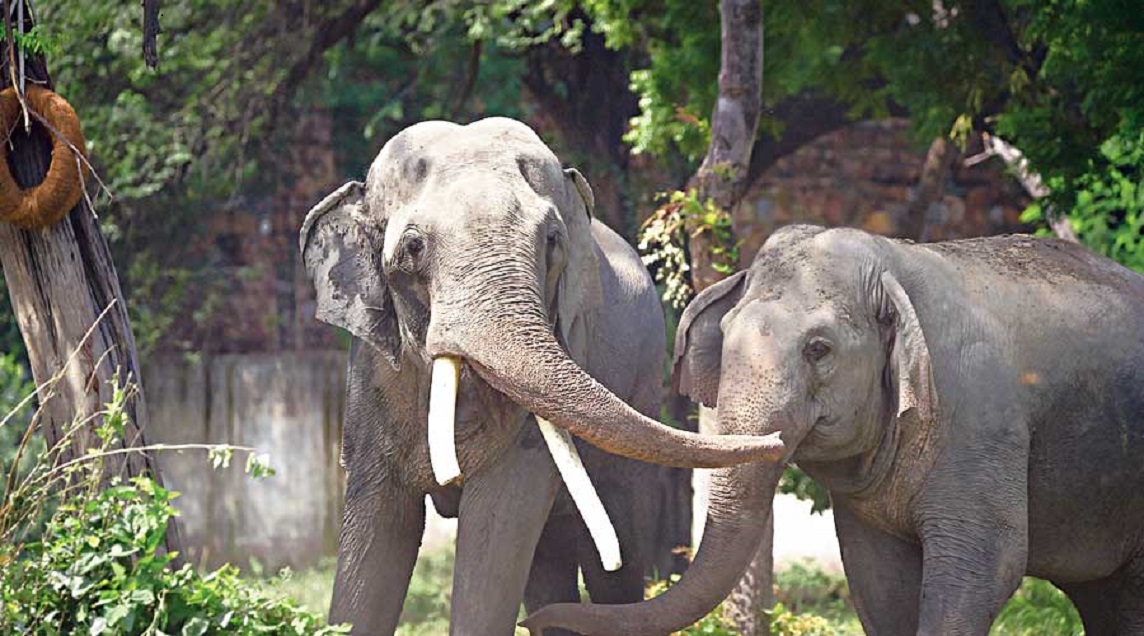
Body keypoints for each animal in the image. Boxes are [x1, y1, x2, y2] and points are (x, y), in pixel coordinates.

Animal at [298, 117, 780, 635]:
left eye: (551, 240)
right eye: (413, 247)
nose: (775, 441)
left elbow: (501, 517)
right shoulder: (371, 375)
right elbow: (378, 529)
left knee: (615, 560)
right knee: (548, 565)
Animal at [522, 224, 1144, 635]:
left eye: (819, 349)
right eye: (725, 338)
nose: (542, 622)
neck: (897, 262)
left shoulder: (982, 428)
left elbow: (984, 567)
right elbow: (877, 578)